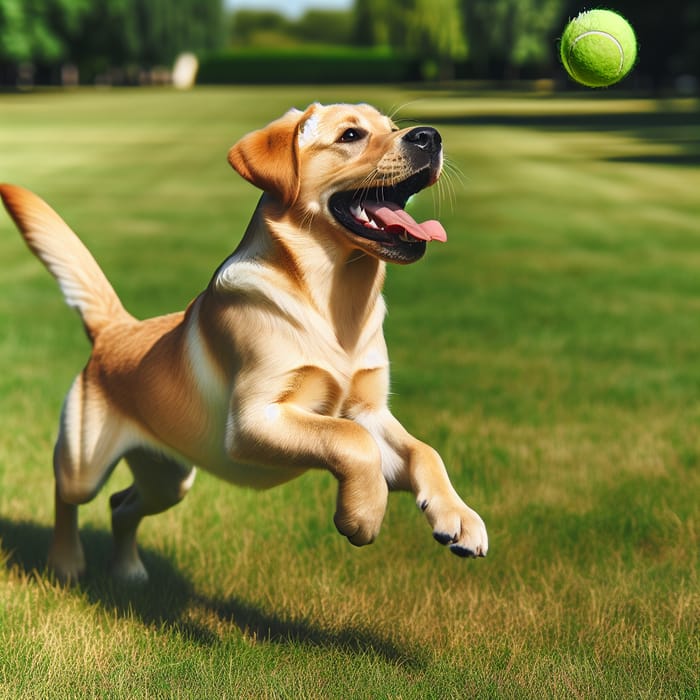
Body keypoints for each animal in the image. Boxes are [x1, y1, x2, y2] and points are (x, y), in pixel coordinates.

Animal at [1, 102, 486, 584]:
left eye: (393, 127)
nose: (430, 136)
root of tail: (116, 328)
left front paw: (459, 518)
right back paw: (66, 561)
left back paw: (129, 570)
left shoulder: (369, 410)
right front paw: (363, 515)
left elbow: (423, 450)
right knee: (66, 495)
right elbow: (350, 439)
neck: (335, 305)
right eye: (351, 135)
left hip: (169, 478)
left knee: (121, 505)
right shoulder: (254, 419)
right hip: (85, 462)